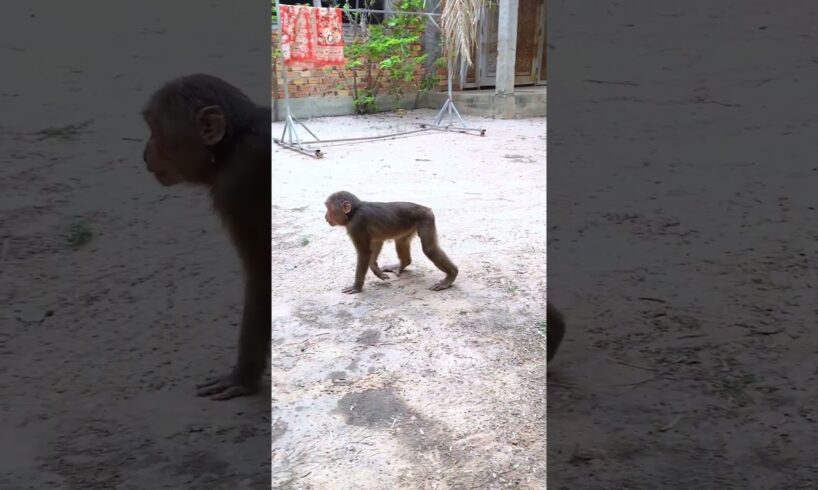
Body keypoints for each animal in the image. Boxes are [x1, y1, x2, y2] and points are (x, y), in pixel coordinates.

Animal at [141, 73, 271, 400]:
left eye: (156, 131)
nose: (145, 151)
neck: (230, 148)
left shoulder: (236, 187)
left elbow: (261, 274)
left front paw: (243, 377)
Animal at [324, 191, 458, 294]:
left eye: (329, 209)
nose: (325, 216)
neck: (353, 212)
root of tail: (426, 208)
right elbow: (376, 243)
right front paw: (376, 269)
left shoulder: (356, 225)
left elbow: (364, 253)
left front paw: (356, 287)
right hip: (410, 225)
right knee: (401, 241)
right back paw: (402, 265)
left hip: (426, 218)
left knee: (429, 249)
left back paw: (451, 275)